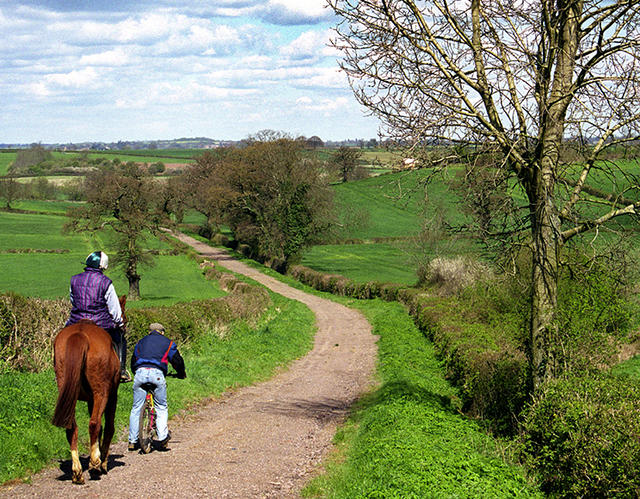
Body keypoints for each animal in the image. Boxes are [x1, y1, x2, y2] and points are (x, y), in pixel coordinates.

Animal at [53, 294, 128, 486]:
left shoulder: (90, 400)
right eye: (122, 315)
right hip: (102, 392)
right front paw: (103, 462)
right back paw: (95, 465)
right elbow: (108, 427)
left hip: (68, 392)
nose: (123, 325)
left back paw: (77, 471)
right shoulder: (112, 395)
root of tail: (80, 334)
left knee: (72, 427)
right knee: (94, 423)